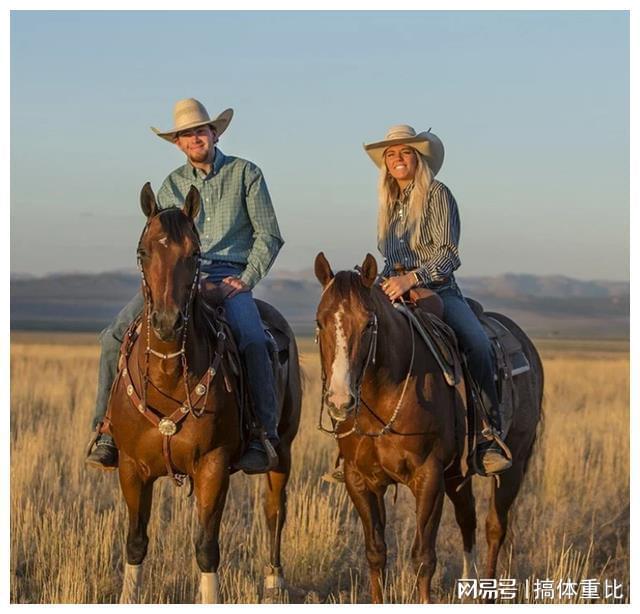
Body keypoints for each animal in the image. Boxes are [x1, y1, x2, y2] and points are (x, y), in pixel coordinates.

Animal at [107, 184, 302, 608]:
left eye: (194, 254)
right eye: (143, 252)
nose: (167, 322)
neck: (168, 375)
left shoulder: (213, 466)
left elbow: (206, 547)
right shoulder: (131, 468)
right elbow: (135, 541)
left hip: (284, 449)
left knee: (274, 510)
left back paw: (274, 579)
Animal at [312, 253, 544, 604]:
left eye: (369, 324)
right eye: (320, 322)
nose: (341, 401)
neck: (384, 394)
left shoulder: (428, 476)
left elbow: (423, 556)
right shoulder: (359, 479)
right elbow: (376, 552)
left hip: (513, 463)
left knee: (495, 526)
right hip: (457, 473)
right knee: (467, 518)